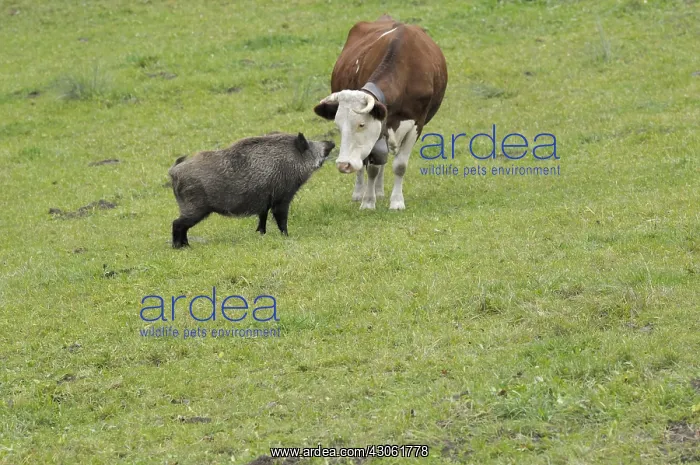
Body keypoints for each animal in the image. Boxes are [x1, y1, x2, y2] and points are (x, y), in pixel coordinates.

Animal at [169, 132, 335, 248]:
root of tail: (173, 171)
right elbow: (281, 219)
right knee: (177, 223)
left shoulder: (264, 203)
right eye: (309, 144)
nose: (331, 142)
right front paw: (287, 236)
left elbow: (262, 219)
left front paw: (261, 235)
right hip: (195, 207)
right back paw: (181, 247)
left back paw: (185, 246)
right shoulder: (282, 198)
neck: (292, 162)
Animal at [313, 14, 447, 210]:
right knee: (365, 163)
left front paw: (397, 202)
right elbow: (372, 167)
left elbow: (399, 165)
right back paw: (360, 193)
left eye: (361, 124)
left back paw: (380, 191)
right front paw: (368, 201)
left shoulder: (417, 123)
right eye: (338, 127)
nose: (343, 164)